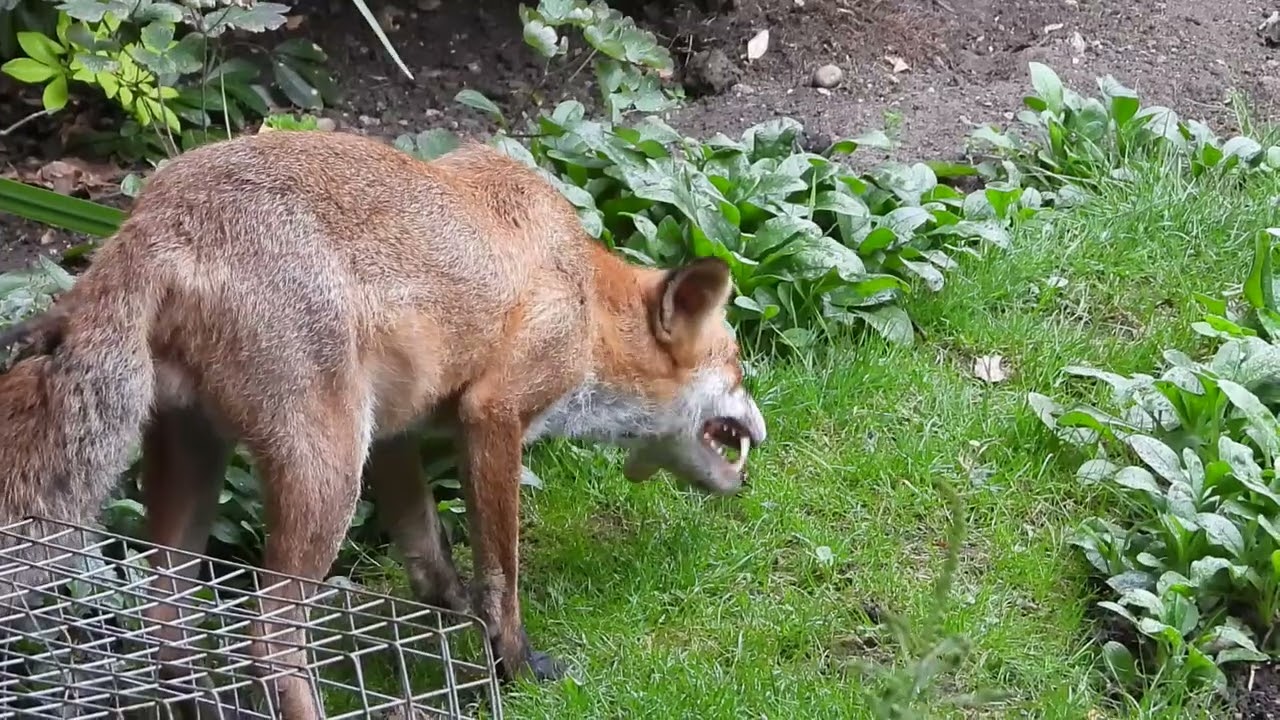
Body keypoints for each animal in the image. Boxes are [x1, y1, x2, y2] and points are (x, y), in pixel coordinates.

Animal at [0, 129, 768, 717]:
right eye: (737, 368)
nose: (764, 427)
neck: (580, 289)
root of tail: (147, 220)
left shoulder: (397, 432)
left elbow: (430, 557)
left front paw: (460, 624)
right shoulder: (494, 413)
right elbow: (502, 573)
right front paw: (514, 664)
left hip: (199, 457)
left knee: (165, 614)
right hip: (327, 471)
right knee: (267, 639)